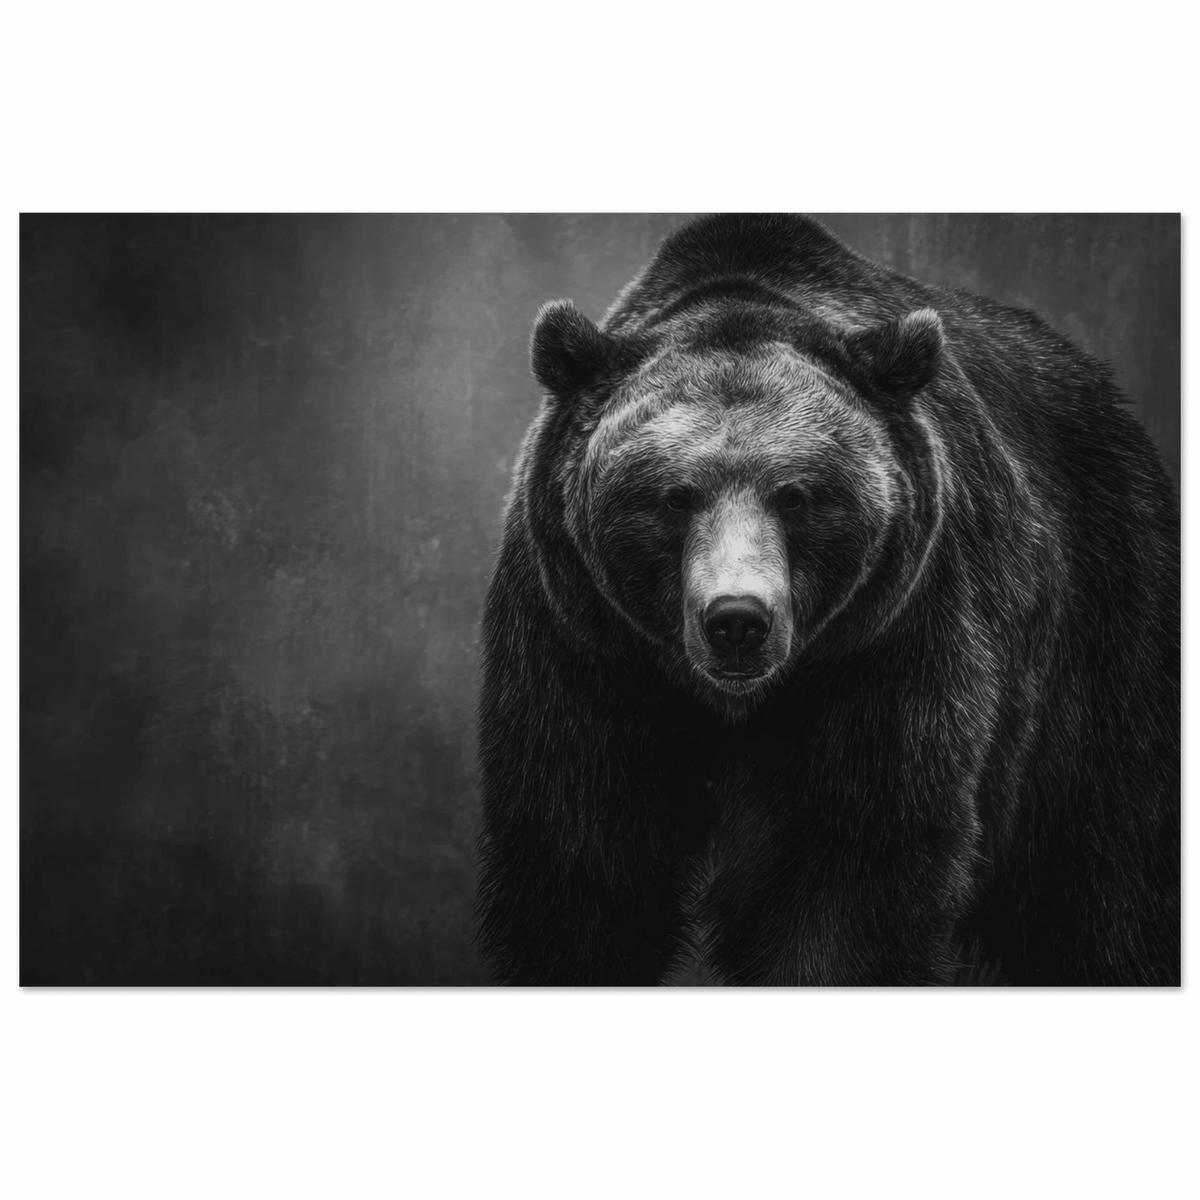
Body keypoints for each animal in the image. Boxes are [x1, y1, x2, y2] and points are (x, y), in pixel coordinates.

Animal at [474, 212, 1181, 988]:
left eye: (797, 495)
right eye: (672, 497)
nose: (737, 621)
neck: (737, 706)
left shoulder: (888, 644)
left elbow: (848, 872)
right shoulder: (584, 649)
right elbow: (582, 861)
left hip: (1103, 626)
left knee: (1101, 872)